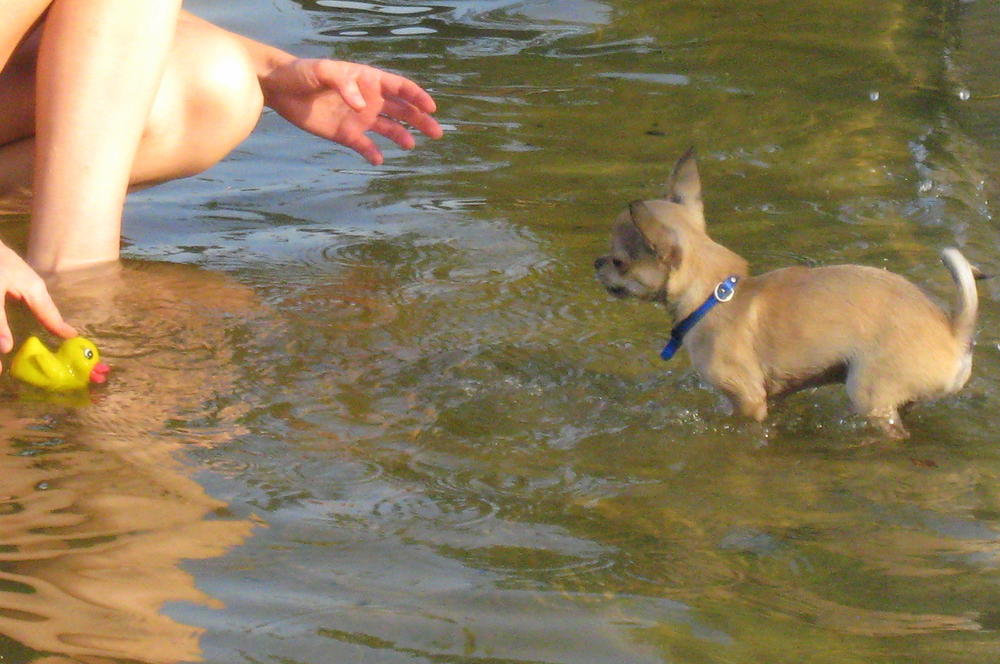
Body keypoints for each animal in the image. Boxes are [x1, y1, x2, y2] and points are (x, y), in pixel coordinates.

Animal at [594, 148, 981, 438]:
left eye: (619, 261)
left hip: (868, 394)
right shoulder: (772, 393)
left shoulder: (747, 399)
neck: (711, 297)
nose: (596, 262)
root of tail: (955, 330)